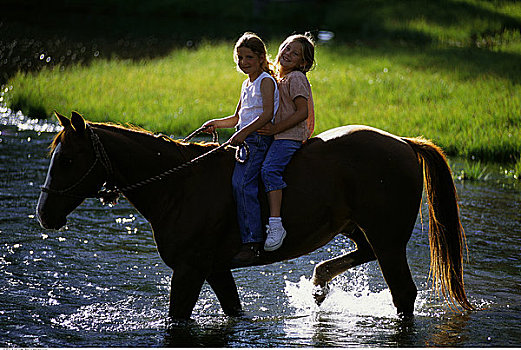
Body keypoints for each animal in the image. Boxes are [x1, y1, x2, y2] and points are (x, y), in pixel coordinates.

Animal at [36, 112, 474, 320]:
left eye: (69, 159)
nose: (43, 214)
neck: (178, 185)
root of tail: (404, 142)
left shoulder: (190, 270)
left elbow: (177, 318)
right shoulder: (214, 268)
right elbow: (233, 310)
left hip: (388, 239)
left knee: (404, 294)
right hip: (359, 230)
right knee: (361, 257)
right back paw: (319, 282)